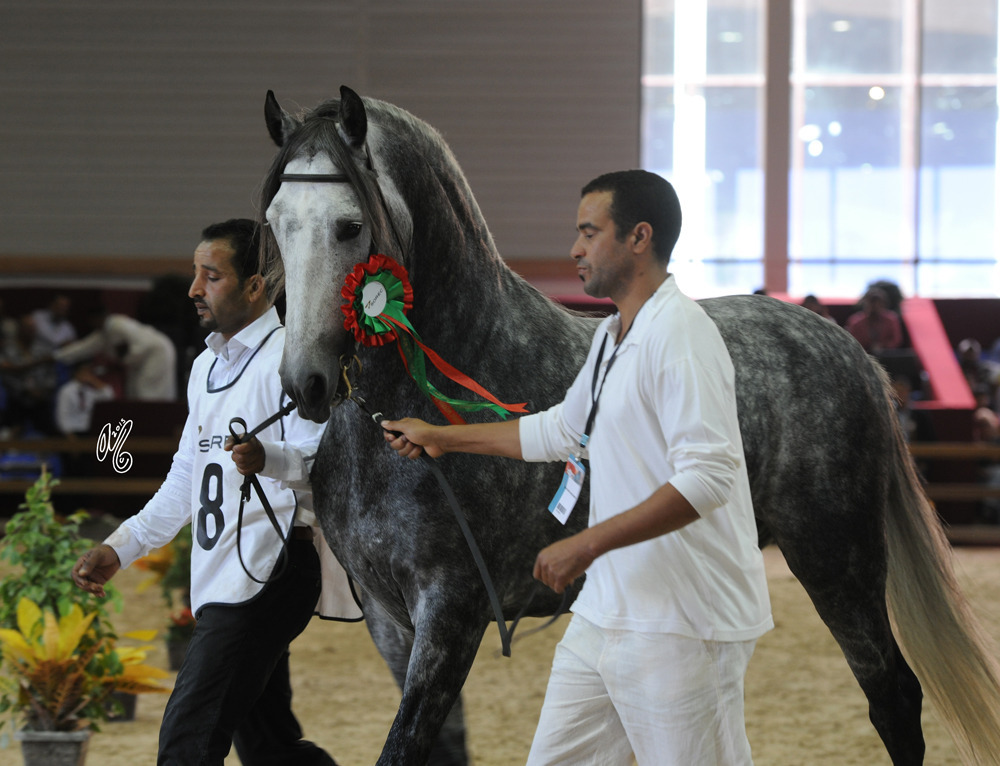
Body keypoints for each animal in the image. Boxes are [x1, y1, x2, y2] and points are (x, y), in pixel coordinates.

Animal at [258, 85, 1000, 766]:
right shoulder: (390, 620)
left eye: (350, 225)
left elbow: (405, 742)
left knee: (893, 696)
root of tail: (849, 350)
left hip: (837, 561)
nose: (305, 383)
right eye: (275, 221)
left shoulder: (452, 610)